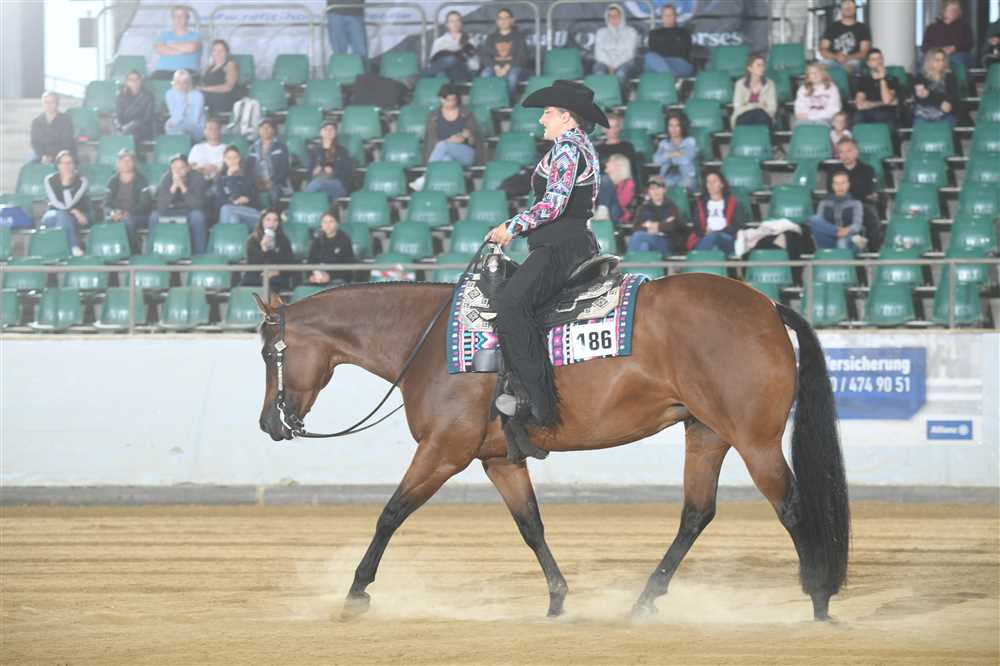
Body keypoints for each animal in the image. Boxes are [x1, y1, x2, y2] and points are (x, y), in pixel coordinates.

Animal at [253, 272, 850, 621]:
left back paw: (819, 600)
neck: (427, 343)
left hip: (755, 441)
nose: (268, 423)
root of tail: (768, 305)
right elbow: (531, 525)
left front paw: (356, 592)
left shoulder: (442, 452)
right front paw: (558, 597)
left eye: (266, 354)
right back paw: (643, 601)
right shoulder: (498, 460)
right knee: (696, 514)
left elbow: (390, 513)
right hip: (706, 434)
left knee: (792, 508)